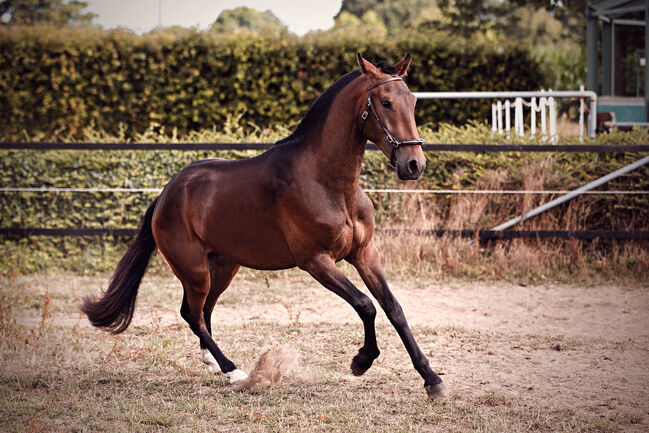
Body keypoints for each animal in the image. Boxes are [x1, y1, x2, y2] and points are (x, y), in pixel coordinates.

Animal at [81, 53, 448, 398]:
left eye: (413, 100)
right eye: (385, 102)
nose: (414, 165)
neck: (327, 182)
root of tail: (167, 192)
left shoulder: (365, 253)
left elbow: (393, 309)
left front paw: (432, 379)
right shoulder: (316, 261)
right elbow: (365, 305)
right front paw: (361, 361)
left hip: (223, 266)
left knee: (204, 313)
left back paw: (215, 364)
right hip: (194, 270)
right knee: (192, 315)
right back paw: (235, 372)